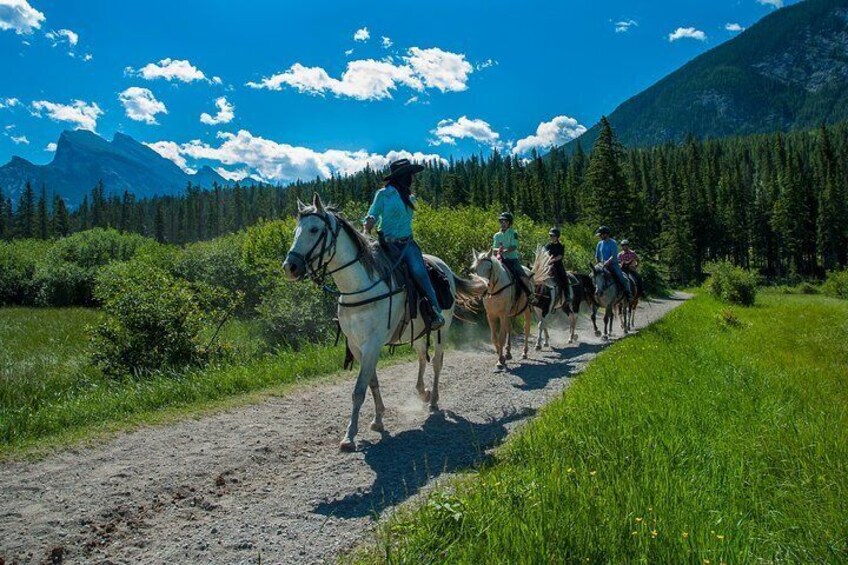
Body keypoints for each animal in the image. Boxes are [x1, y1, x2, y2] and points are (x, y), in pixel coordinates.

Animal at [284, 194, 484, 450]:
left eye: (314, 229)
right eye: (295, 231)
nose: (290, 267)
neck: (359, 288)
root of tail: (443, 266)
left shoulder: (372, 344)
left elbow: (359, 389)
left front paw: (349, 435)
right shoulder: (357, 346)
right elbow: (372, 382)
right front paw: (378, 419)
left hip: (442, 328)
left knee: (437, 363)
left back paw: (433, 400)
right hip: (418, 332)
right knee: (422, 357)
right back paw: (423, 392)